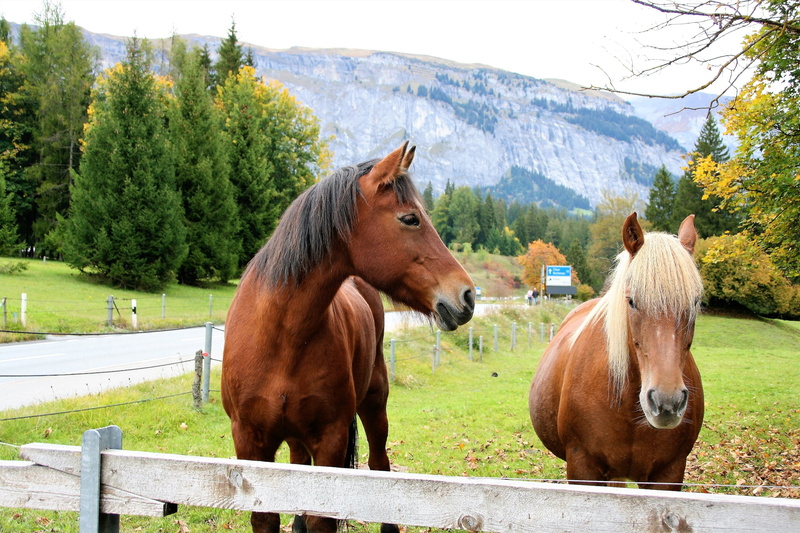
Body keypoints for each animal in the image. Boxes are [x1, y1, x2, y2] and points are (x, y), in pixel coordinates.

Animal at [222, 142, 475, 533]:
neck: (281, 336)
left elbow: (322, 517)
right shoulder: (250, 441)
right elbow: (266, 517)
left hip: (375, 403)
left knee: (379, 464)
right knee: (299, 465)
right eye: (410, 219)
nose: (468, 296)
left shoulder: (330, 438)